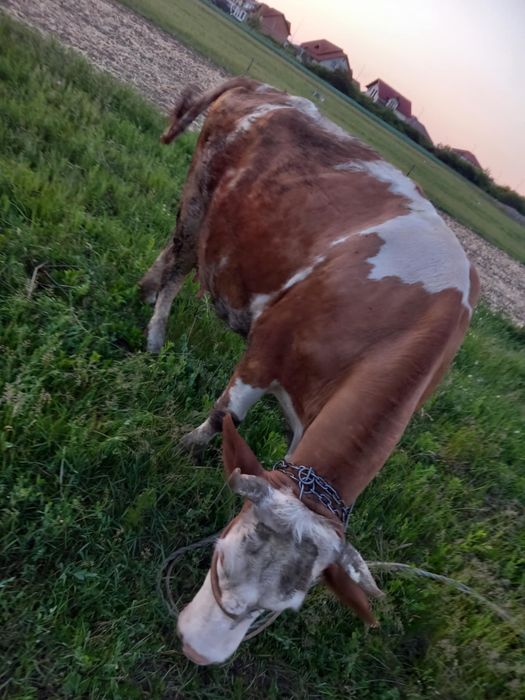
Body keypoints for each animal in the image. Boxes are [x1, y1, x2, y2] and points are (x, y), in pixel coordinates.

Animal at [139, 77, 479, 665]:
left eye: (280, 609)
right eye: (220, 554)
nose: (199, 653)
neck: (393, 325)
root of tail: (262, 87)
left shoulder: (310, 424)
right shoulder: (265, 350)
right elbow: (224, 415)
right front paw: (186, 446)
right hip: (198, 204)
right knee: (176, 263)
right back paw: (154, 331)